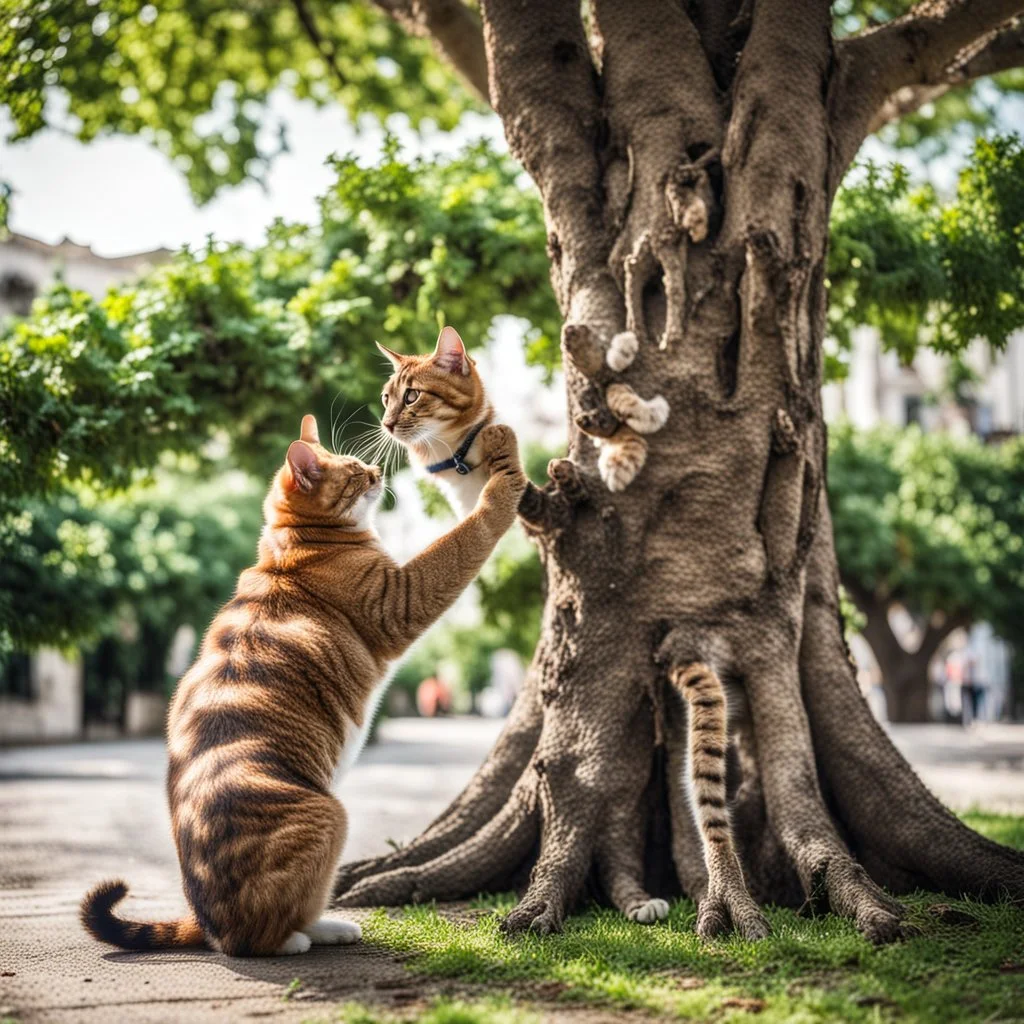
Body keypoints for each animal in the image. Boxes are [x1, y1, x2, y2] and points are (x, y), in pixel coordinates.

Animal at [78, 411, 524, 954]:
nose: (377, 471)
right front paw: (503, 483)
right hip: (329, 817)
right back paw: (307, 935)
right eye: (354, 471)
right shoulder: (402, 598)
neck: (296, 545)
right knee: (260, 932)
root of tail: (206, 921)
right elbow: (465, 536)